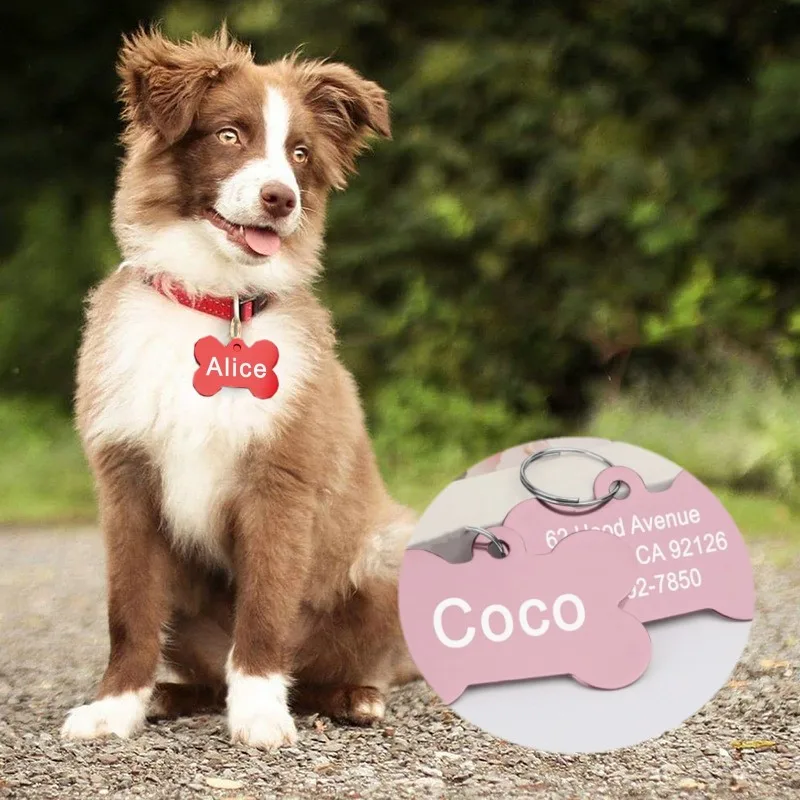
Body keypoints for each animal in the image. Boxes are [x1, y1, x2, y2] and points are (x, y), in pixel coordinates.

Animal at [61, 26, 418, 750]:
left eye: (300, 153)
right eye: (229, 135)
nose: (283, 198)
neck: (214, 302)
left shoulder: (280, 482)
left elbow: (266, 609)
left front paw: (258, 714)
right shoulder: (126, 481)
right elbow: (128, 610)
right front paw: (116, 707)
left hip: (386, 553)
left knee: (339, 665)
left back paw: (354, 698)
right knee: (204, 670)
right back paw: (170, 696)